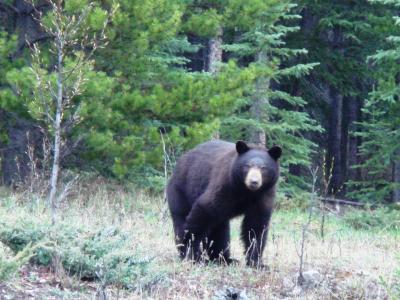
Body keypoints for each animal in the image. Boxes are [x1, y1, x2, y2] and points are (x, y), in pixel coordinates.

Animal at [166, 140, 282, 268]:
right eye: (247, 166)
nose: (254, 182)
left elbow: (255, 227)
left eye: (263, 168)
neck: (247, 192)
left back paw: (223, 259)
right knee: (181, 218)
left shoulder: (263, 196)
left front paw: (257, 263)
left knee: (220, 230)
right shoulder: (225, 186)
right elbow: (204, 210)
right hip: (180, 191)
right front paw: (192, 254)